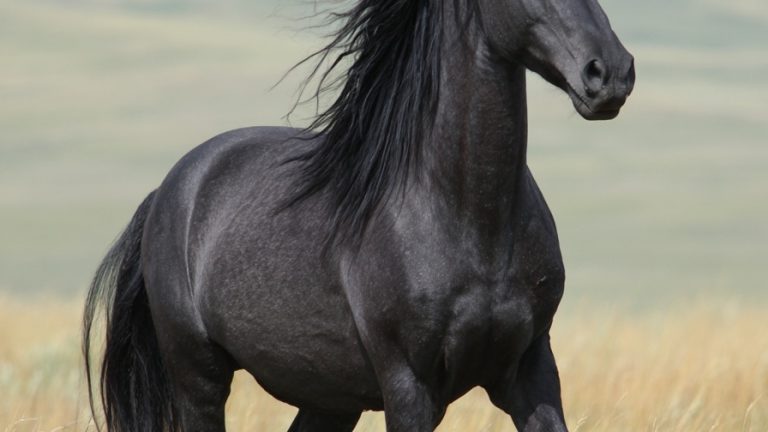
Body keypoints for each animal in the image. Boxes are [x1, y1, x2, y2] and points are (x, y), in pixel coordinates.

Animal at [83, 0, 634, 430]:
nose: (610, 73)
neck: (471, 220)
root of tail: (169, 189)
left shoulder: (532, 372)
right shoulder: (409, 387)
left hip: (329, 397)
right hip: (199, 379)